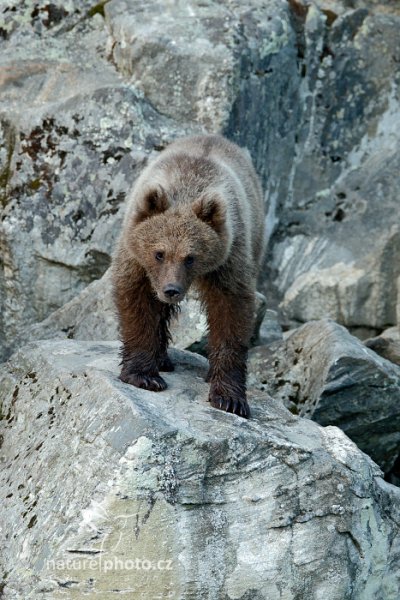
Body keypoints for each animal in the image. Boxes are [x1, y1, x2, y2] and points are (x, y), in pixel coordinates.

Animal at [111, 135, 264, 418]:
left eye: (190, 257)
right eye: (159, 253)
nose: (171, 290)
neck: (187, 188)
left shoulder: (230, 257)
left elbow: (231, 313)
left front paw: (230, 398)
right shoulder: (136, 256)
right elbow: (138, 303)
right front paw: (144, 375)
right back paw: (162, 359)